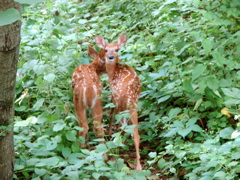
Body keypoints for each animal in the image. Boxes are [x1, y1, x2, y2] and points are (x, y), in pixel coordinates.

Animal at [94, 33, 142, 170]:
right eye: (106, 49)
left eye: (117, 49)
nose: (110, 57)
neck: (113, 72)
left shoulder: (113, 94)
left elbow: (111, 113)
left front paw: (110, 132)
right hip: (133, 104)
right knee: (134, 131)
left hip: (126, 102)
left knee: (131, 131)